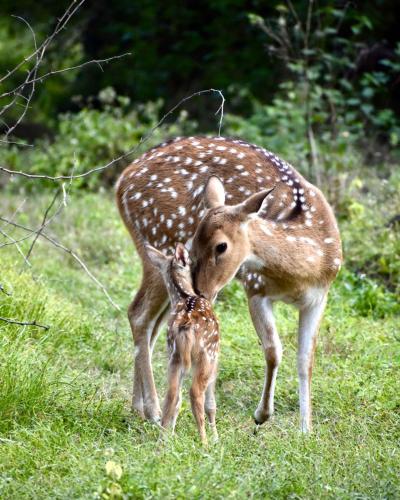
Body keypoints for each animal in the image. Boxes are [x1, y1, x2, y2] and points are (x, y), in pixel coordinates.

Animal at [145, 244, 219, 444]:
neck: (184, 296)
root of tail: (187, 325)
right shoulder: (216, 358)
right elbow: (211, 403)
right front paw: (216, 438)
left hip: (174, 356)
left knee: (172, 394)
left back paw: (161, 441)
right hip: (206, 356)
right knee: (195, 394)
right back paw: (204, 443)